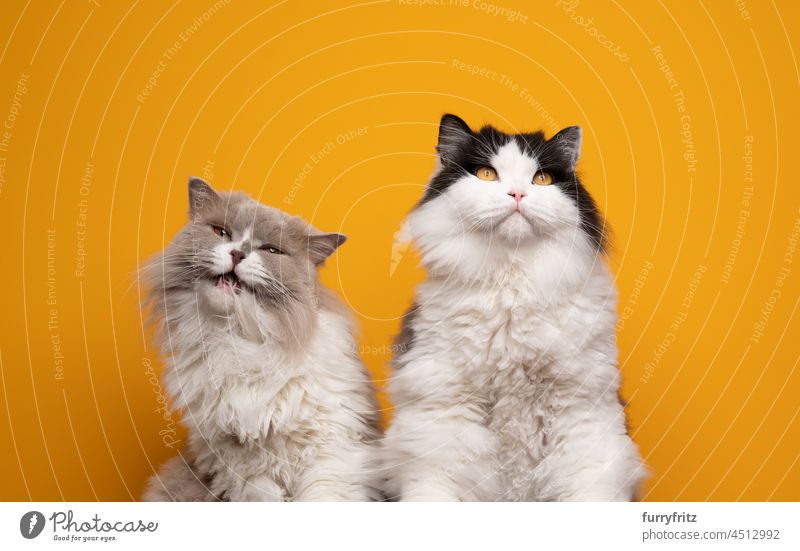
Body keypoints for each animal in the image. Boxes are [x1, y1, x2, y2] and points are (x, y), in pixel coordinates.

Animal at [142, 179, 380, 502]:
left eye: (270, 250)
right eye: (222, 232)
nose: (238, 253)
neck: (243, 340)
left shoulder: (331, 448)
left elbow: (322, 495)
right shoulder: (244, 466)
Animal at [382, 114, 648, 502]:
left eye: (542, 179)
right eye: (486, 174)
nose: (518, 194)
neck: (512, 283)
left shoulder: (581, 409)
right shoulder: (446, 413)